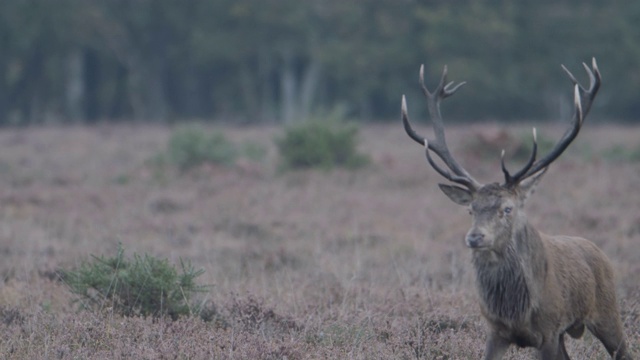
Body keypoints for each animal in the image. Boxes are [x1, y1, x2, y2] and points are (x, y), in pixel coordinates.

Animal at [402, 57, 632, 358]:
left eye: (507, 208)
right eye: (470, 209)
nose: (474, 237)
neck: (516, 311)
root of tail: (599, 251)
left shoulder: (548, 330)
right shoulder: (495, 331)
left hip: (607, 312)